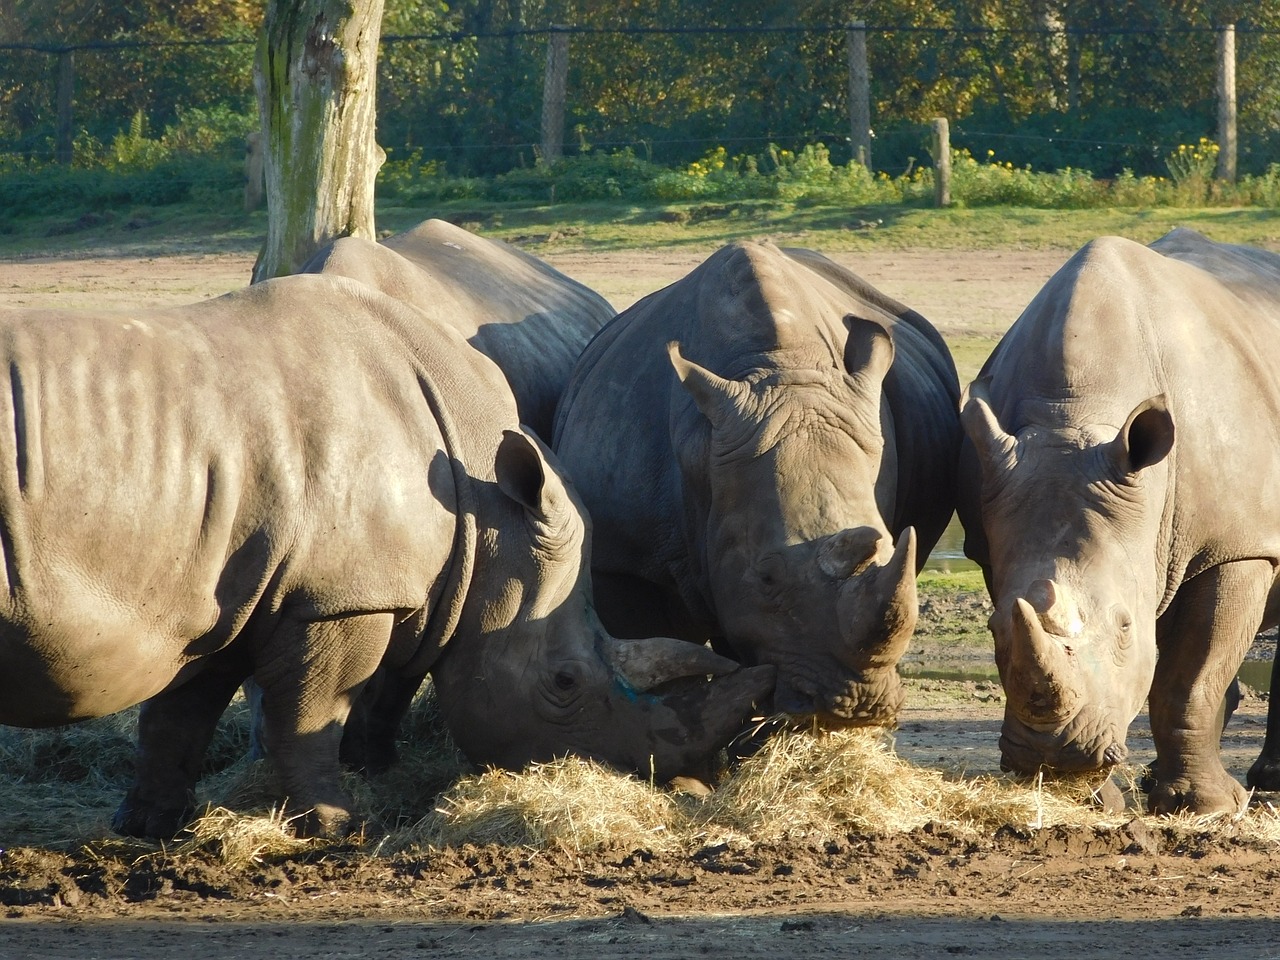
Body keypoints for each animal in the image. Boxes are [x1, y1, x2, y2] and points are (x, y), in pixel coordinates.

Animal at [0, 272, 773, 839]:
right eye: (563, 682)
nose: (685, 787)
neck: (488, 509)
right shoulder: (340, 598)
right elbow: (311, 713)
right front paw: (337, 825)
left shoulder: (218, 593)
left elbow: (179, 714)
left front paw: (145, 827)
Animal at [957, 229, 1280, 814]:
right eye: (990, 629)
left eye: (1126, 626)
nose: (1053, 754)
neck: (1079, 413)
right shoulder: (995, 531)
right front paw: (1097, 803)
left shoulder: (1238, 545)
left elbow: (1190, 679)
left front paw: (1209, 809)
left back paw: (1262, 781)